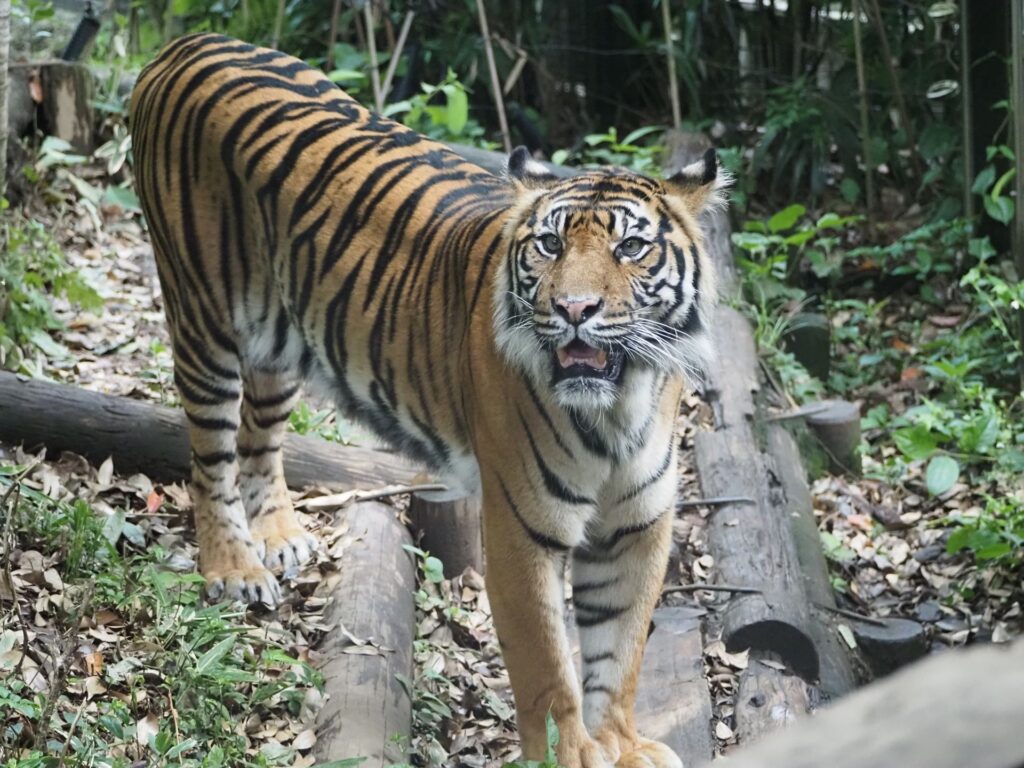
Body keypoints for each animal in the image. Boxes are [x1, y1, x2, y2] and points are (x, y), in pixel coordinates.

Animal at [132, 33, 724, 768]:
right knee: (209, 459)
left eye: (632, 247)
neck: (622, 402)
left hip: (278, 340)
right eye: (550, 244)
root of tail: (185, 44)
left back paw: (278, 536)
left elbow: (621, 655)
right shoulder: (522, 529)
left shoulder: (637, 525)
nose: (573, 309)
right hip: (204, 318)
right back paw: (235, 567)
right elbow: (550, 671)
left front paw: (620, 744)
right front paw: (574, 755)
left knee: (258, 439)